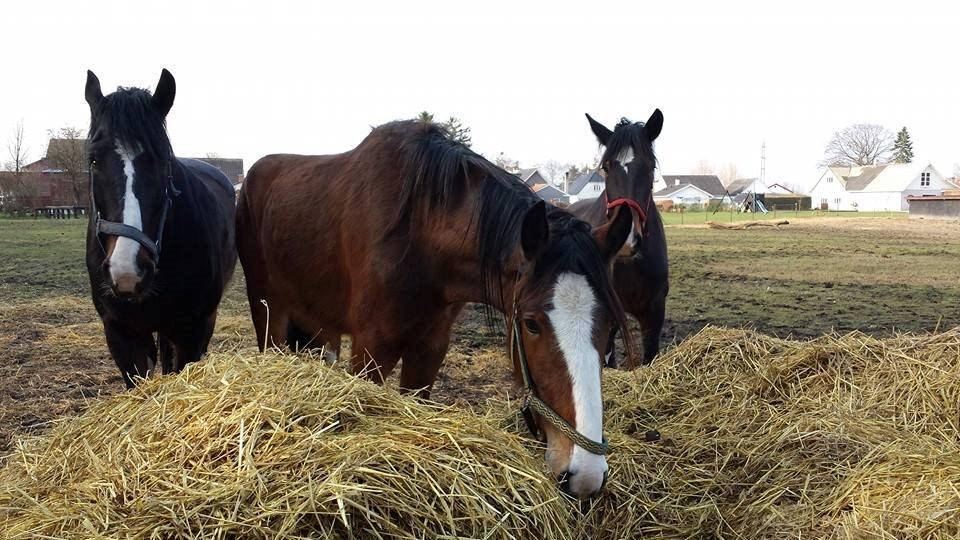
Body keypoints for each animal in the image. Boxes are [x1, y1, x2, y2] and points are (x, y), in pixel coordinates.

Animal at [236, 121, 632, 498]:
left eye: (610, 325)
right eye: (531, 324)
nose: (585, 474)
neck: (420, 232)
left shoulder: (429, 347)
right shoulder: (370, 348)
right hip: (269, 315)